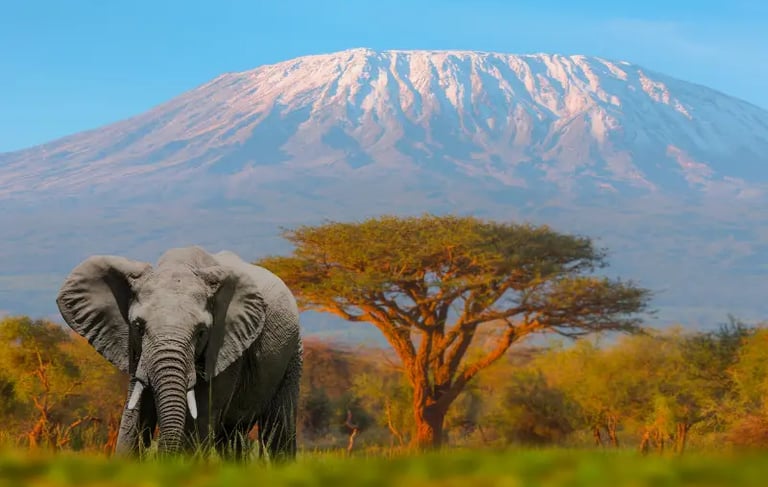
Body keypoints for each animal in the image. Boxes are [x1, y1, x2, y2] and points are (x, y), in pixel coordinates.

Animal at [55, 246, 302, 461]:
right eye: (138, 327)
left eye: (201, 332)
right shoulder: (133, 349)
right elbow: (135, 416)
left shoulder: (225, 347)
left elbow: (200, 417)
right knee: (232, 437)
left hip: (293, 351)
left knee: (278, 427)